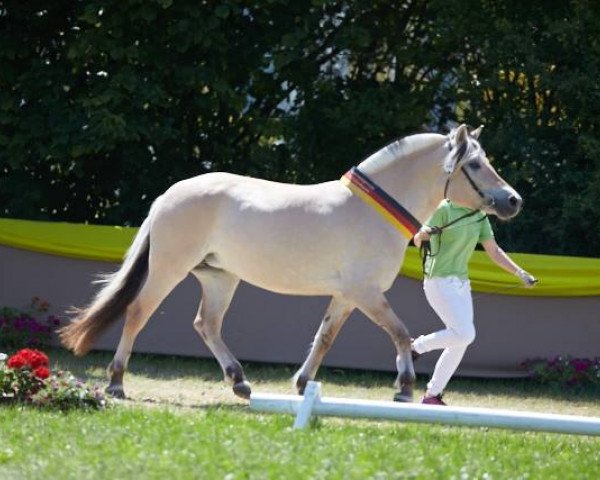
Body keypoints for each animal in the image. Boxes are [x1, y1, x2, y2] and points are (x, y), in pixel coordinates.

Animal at [58, 124, 524, 402]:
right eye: (475, 164)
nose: (512, 201)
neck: (372, 211)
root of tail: (168, 195)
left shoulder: (347, 296)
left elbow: (325, 337)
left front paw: (302, 384)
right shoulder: (366, 293)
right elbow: (400, 332)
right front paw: (404, 388)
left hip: (220, 277)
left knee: (206, 324)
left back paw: (240, 382)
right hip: (169, 269)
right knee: (138, 313)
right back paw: (117, 382)